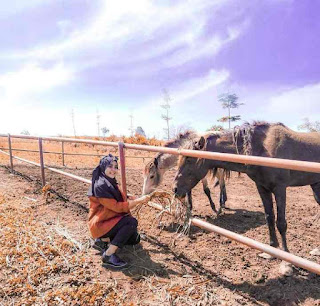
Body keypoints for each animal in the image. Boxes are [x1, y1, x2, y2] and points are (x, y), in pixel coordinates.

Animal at [172, 120, 320, 256]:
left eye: (189, 159)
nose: (175, 189)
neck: (262, 149)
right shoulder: (262, 187)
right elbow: (269, 217)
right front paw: (272, 249)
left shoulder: (280, 189)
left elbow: (281, 222)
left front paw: (285, 253)